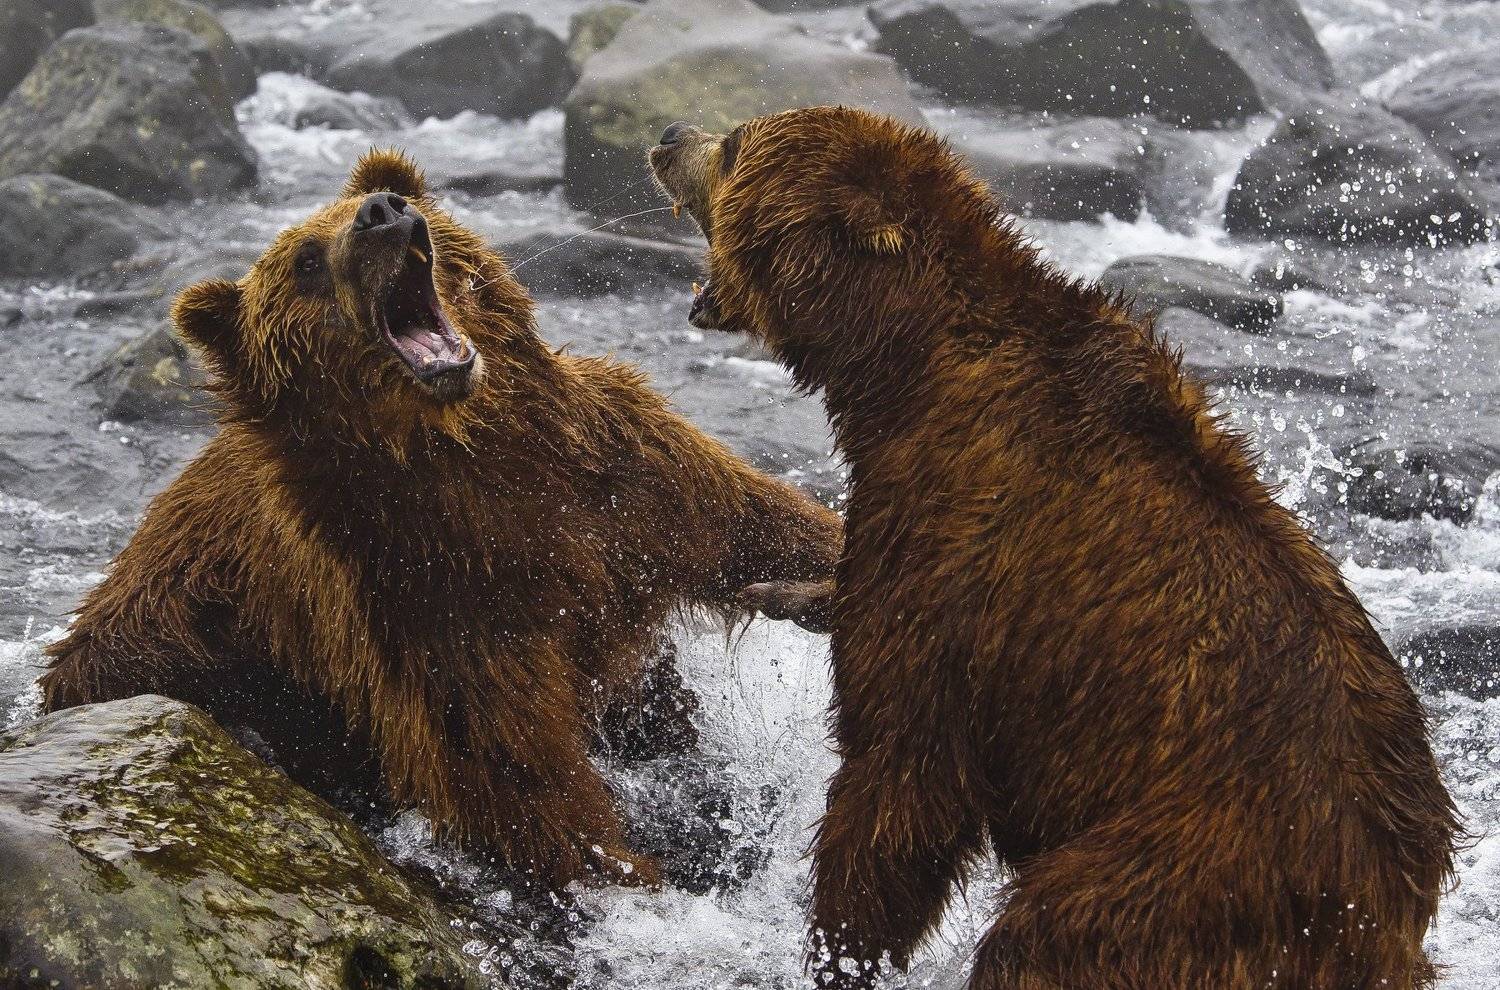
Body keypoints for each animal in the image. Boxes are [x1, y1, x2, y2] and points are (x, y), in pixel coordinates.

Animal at [42, 149, 842, 890]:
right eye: (305, 260)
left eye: (377, 196)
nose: (383, 214)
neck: (463, 450)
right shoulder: (421, 587)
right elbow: (508, 763)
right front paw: (623, 868)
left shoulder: (622, 477)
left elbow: (761, 529)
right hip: (176, 653)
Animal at [650, 108, 1459, 989]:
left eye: (733, 146)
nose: (668, 140)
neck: (900, 368)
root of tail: (1385, 911)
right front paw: (785, 591)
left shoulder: (954, 539)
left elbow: (900, 774)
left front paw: (839, 951)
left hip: (1187, 867)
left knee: (1042, 936)